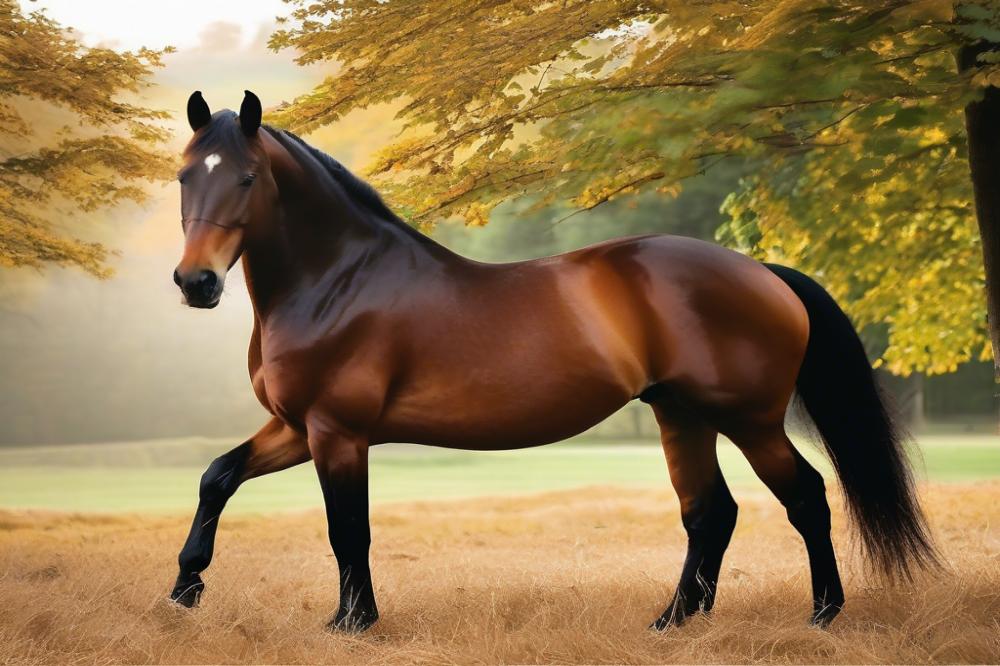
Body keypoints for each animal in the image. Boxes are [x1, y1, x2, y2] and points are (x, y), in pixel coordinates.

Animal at [169, 90, 936, 633]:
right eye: (183, 177)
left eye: (247, 177)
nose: (195, 283)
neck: (340, 280)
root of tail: (763, 272)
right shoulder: (296, 427)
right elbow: (217, 477)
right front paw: (185, 590)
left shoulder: (337, 431)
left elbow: (346, 529)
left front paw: (352, 623)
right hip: (682, 416)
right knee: (709, 513)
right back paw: (673, 621)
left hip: (748, 420)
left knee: (804, 496)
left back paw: (823, 615)